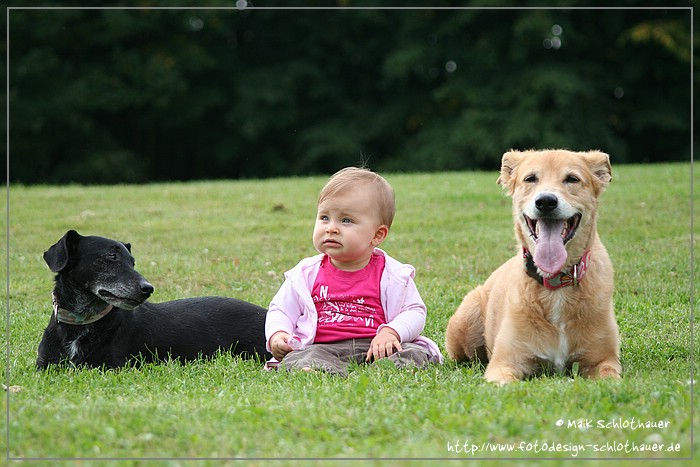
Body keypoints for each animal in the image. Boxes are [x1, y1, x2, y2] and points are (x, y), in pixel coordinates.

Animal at [35, 230, 272, 370]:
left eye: (132, 262)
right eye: (112, 256)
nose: (147, 288)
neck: (82, 321)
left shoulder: (110, 366)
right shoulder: (44, 367)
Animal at [446, 149, 620, 384]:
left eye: (572, 179)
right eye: (530, 179)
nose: (546, 201)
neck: (555, 284)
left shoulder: (604, 360)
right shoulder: (504, 363)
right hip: (463, 326)